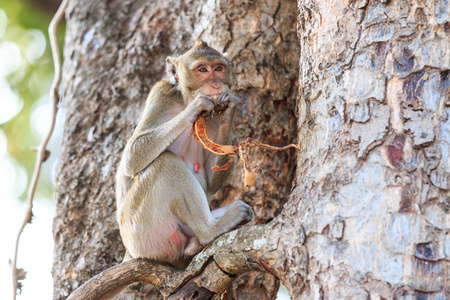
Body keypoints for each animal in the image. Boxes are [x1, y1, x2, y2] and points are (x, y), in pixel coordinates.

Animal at [114, 39, 255, 268]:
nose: (216, 85)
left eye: (218, 68)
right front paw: (195, 108)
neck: (184, 99)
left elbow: (211, 182)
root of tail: (130, 251)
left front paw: (229, 109)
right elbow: (132, 156)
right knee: (165, 163)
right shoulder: (160, 94)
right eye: (203, 70)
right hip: (142, 232)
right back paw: (211, 230)